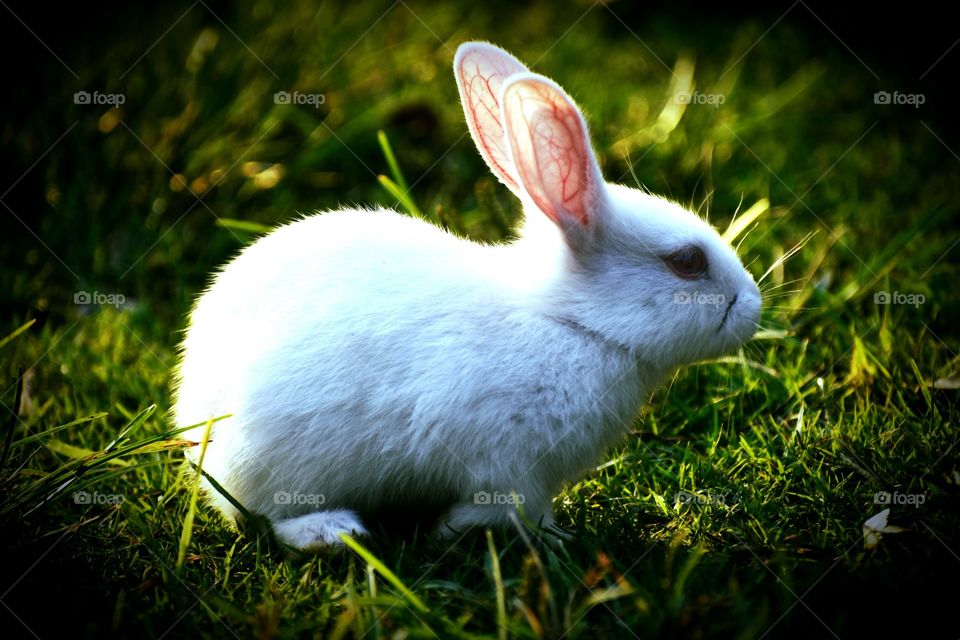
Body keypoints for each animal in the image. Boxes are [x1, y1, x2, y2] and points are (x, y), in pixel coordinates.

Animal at [172, 41, 762, 552]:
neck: (571, 323)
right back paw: (331, 532)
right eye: (687, 262)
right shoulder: (511, 466)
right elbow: (512, 508)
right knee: (266, 516)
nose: (754, 307)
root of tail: (192, 409)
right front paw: (524, 536)